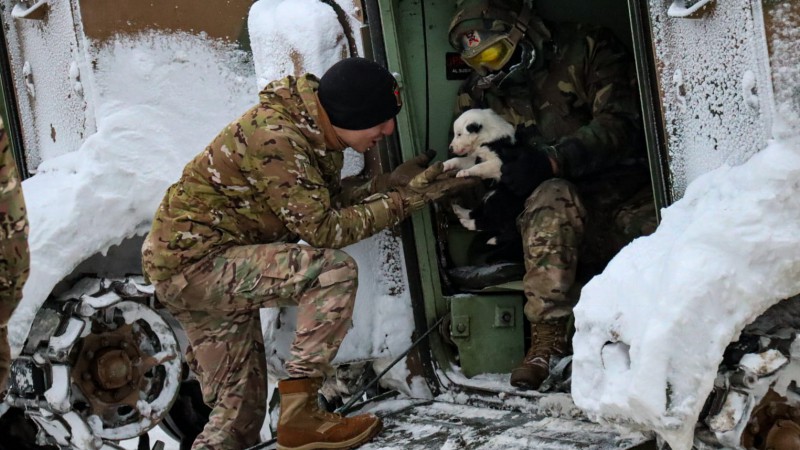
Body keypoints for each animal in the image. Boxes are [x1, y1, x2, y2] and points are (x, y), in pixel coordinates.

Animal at [446, 108, 528, 260]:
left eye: (459, 134)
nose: (450, 148)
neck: (487, 137)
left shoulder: (498, 163)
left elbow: (479, 167)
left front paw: (465, 172)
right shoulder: (475, 157)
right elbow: (459, 160)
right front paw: (445, 165)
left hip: (501, 198)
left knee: (493, 222)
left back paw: (469, 224)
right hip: (492, 195)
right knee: (480, 213)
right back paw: (460, 211)